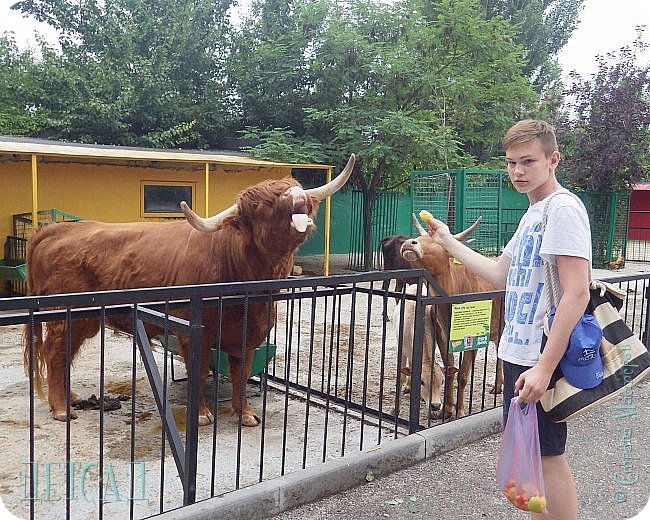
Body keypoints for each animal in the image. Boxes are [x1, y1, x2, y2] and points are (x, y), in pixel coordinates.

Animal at [400, 215, 502, 418]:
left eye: (441, 243)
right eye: (419, 236)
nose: (409, 243)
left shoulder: (474, 339)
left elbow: (462, 375)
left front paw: (459, 410)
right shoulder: (442, 337)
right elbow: (450, 369)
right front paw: (447, 407)